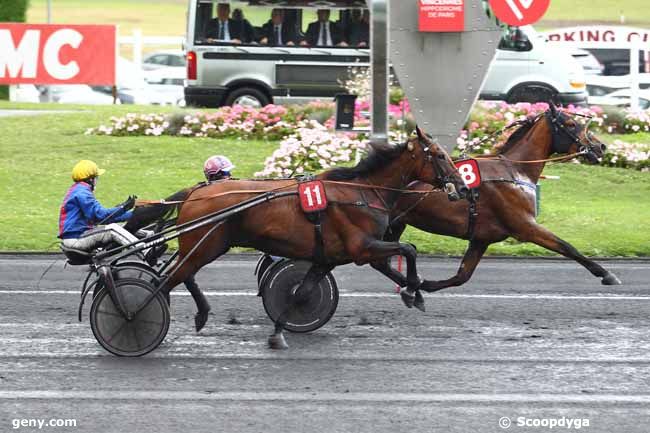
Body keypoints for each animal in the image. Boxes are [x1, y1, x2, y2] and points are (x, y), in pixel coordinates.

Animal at [161, 128, 466, 348]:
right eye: (439, 155)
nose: (462, 187)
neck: (363, 192)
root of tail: (195, 192)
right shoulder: (362, 248)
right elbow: (409, 249)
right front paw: (413, 290)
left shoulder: (328, 258)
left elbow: (302, 292)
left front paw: (278, 332)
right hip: (204, 247)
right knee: (172, 278)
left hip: (201, 248)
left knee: (183, 275)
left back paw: (197, 312)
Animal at [370, 104, 616, 310]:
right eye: (571, 124)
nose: (600, 146)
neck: (514, 172)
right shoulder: (525, 227)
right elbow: (567, 247)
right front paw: (606, 274)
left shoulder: (482, 238)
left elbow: (462, 276)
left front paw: (423, 285)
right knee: (379, 259)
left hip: (396, 223)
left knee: (380, 262)